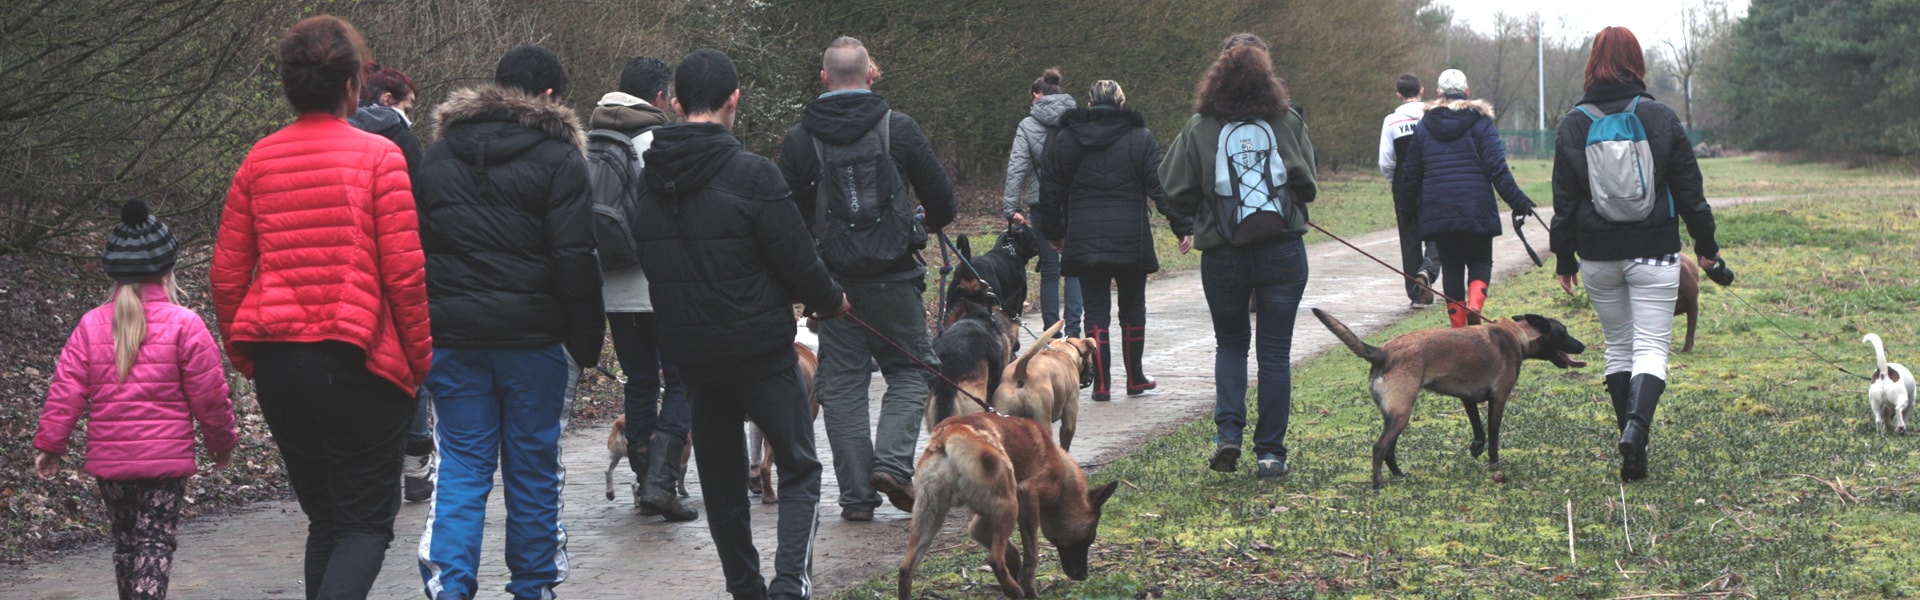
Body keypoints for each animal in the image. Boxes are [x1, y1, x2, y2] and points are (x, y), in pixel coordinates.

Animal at [894, 411, 1121, 600]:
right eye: (1089, 538)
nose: (1083, 575)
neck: (1062, 471)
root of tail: (948, 434)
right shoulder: (1027, 496)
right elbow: (1031, 553)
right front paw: (1027, 587)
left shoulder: (980, 527)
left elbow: (1012, 552)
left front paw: (1016, 573)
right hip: (1009, 507)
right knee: (994, 559)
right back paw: (1014, 591)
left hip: (927, 520)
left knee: (905, 569)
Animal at [1313, 309, 1597, 488]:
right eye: (1564, 332)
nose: (1582, 346)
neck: (1516, 335)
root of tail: (1383, 352)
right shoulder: (1499, 399)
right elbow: (1494, 435)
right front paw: (1494, 463)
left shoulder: (1467, 397)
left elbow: (1478, 428)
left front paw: (1476, 448)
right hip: (1402, 413)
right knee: (1379, 448)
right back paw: (1378, 484)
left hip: (1396, 415)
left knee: (1389, 450)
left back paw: (1400, 475)